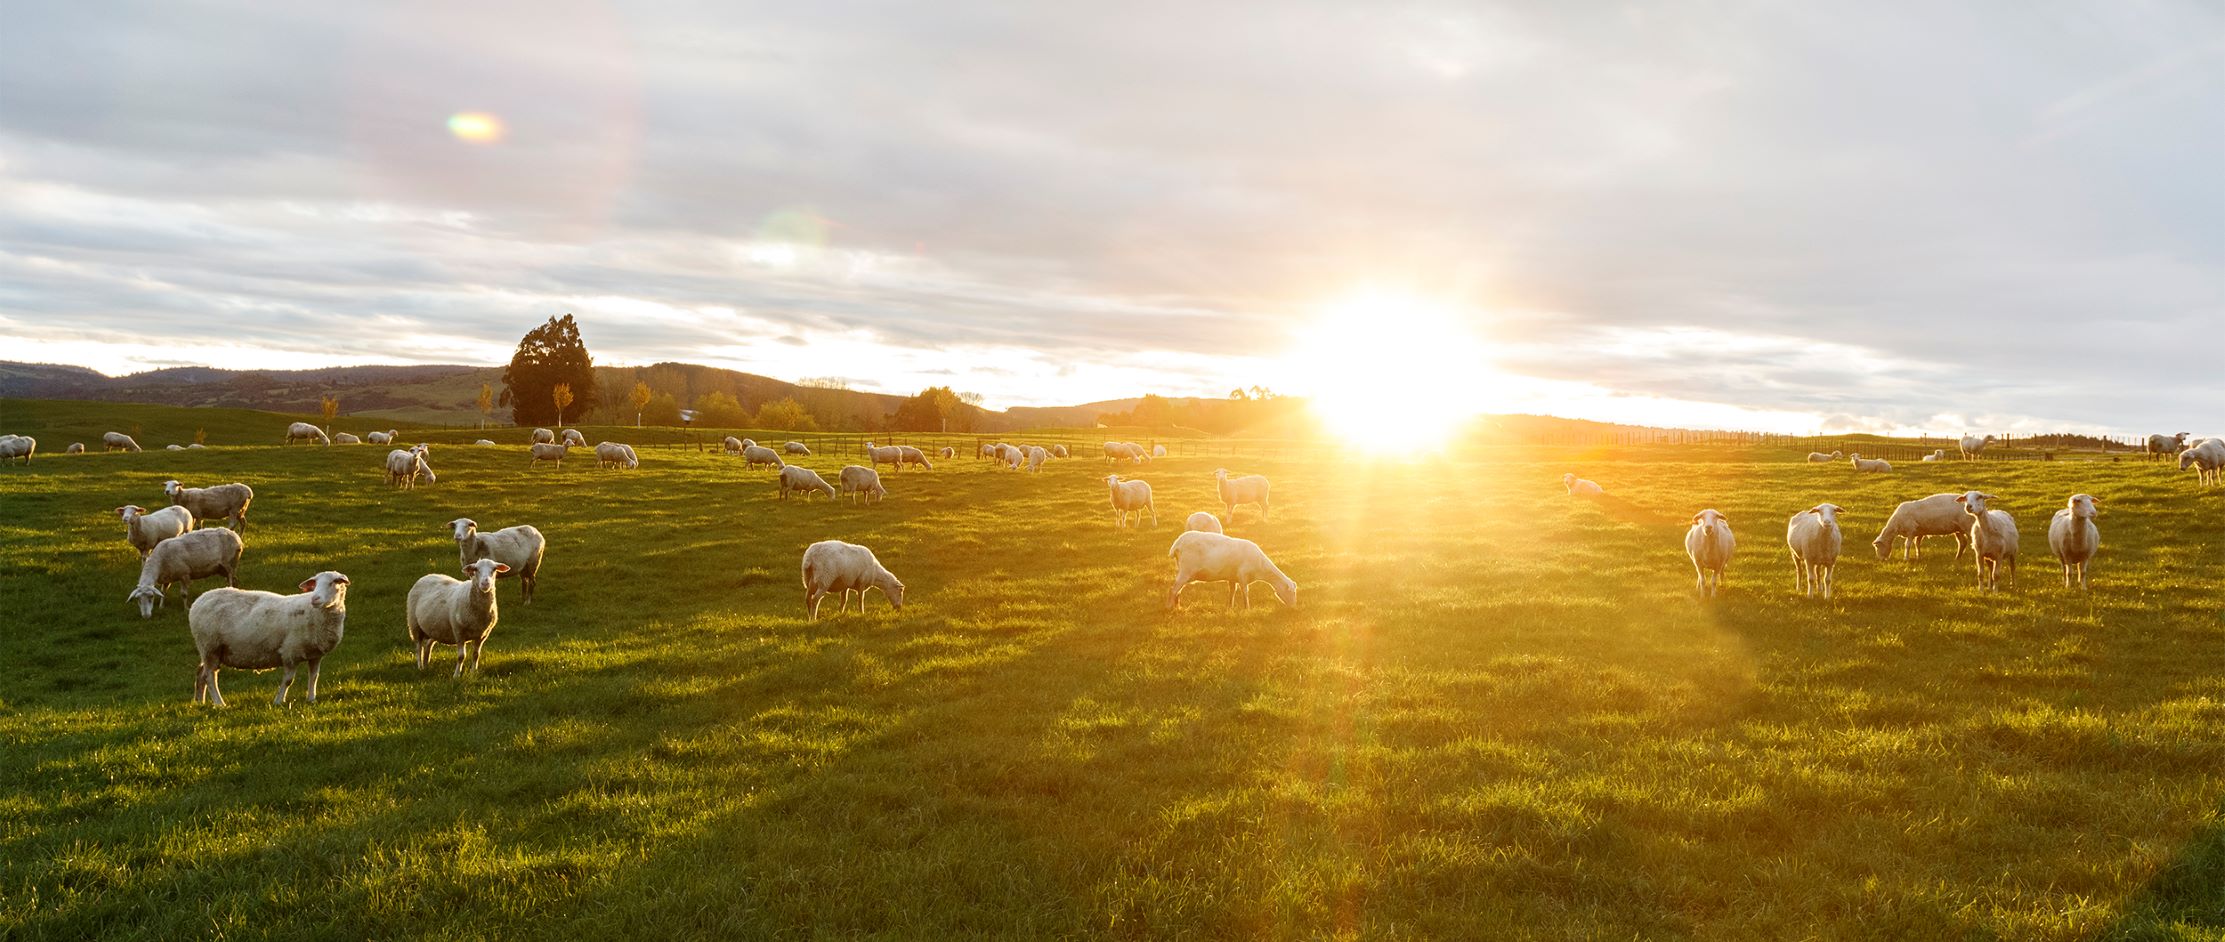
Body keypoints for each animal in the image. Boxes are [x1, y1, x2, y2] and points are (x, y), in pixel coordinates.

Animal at [189, 567, 349, 708]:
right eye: (315, 583)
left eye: (333, 582)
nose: (315, 599)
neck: (315, 613)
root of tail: (199, 600)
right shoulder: (290, 652)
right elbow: (288, 681)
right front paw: (278, 701)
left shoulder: (315, 654)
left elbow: (314, 677)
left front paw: (311, 700)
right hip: (209, 645)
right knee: (210, 676)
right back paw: (219, 703)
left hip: (212, 650)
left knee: (201, 673)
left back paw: (199, 702)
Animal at [1165, 530, 1299, 610]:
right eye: (1292, 592)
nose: (1293, 607)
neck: (1262, 567)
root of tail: (1177, 544)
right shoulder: (1243, 575)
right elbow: (1245, 592)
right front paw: (1247, 609)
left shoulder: (1232, 577)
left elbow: (1232, 592)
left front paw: (1230, 607)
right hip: (1186, 570)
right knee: (1173, 589)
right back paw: (1170, 607)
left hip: (1184, 571)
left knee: (1178, 590)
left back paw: (1178, 607)